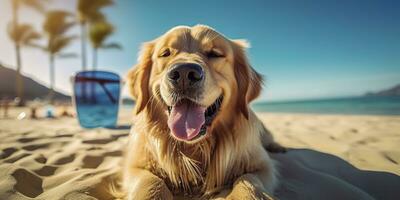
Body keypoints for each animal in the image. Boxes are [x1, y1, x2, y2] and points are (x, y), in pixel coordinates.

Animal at [123, 25, 286, 200]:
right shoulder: (135, 165)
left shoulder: (263, 166)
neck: (195, 148)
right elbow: (152, 183)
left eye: (215, 54)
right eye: (165, 53)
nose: (184, 73)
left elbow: (248, 180)